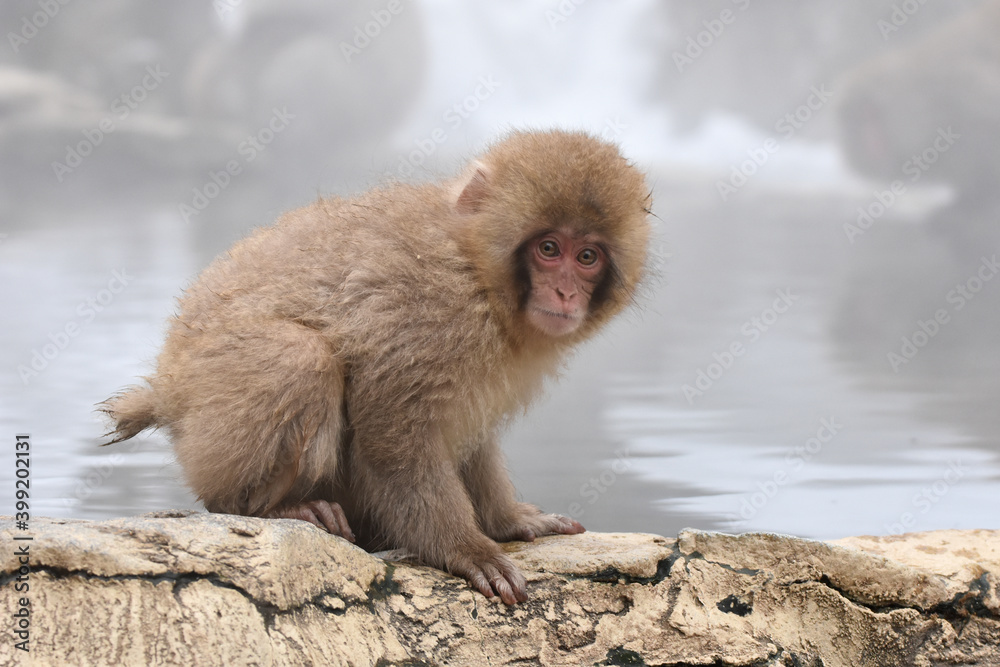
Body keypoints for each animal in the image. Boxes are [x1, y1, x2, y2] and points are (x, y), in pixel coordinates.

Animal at [100, 129, 652, 605]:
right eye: (549, 249)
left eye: (587, 257)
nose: (564, 293)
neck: (477, 270)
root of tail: (166, 388)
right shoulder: (427, 312)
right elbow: (394, 435)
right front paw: (465, 548)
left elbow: (471, 436)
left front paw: (507, 520)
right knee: (300, 359)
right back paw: (266, 506)